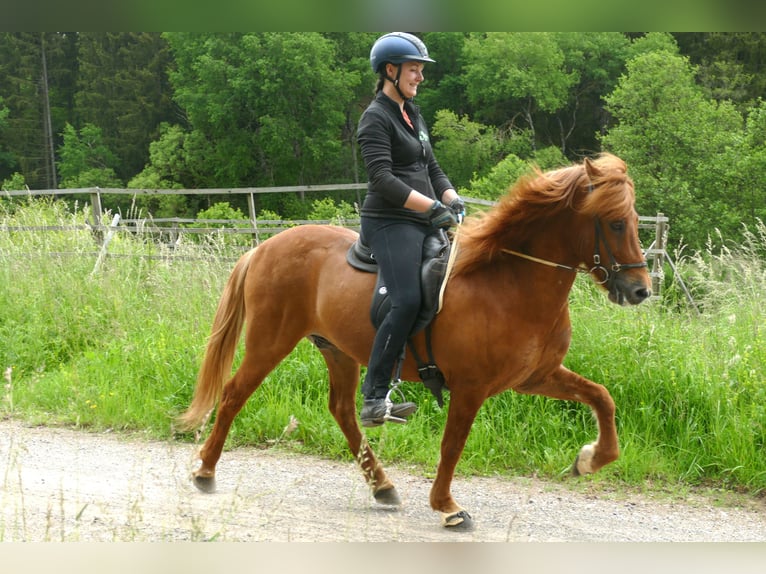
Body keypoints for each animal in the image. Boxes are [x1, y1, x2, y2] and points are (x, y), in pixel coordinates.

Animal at [180, 152, 656, 532]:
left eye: (635, 221)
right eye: (616, 223)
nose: (640, 291)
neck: (509, 281)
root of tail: (263, 248)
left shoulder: (536, 376)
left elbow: (602, 397)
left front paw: (591, 458)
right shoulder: (470, 387)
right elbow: (452, 444)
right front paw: (447, 506)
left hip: (338, 350)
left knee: (343, 411)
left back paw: (383, 487)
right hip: (270, 340)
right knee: (234, 393)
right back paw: (205, 472)